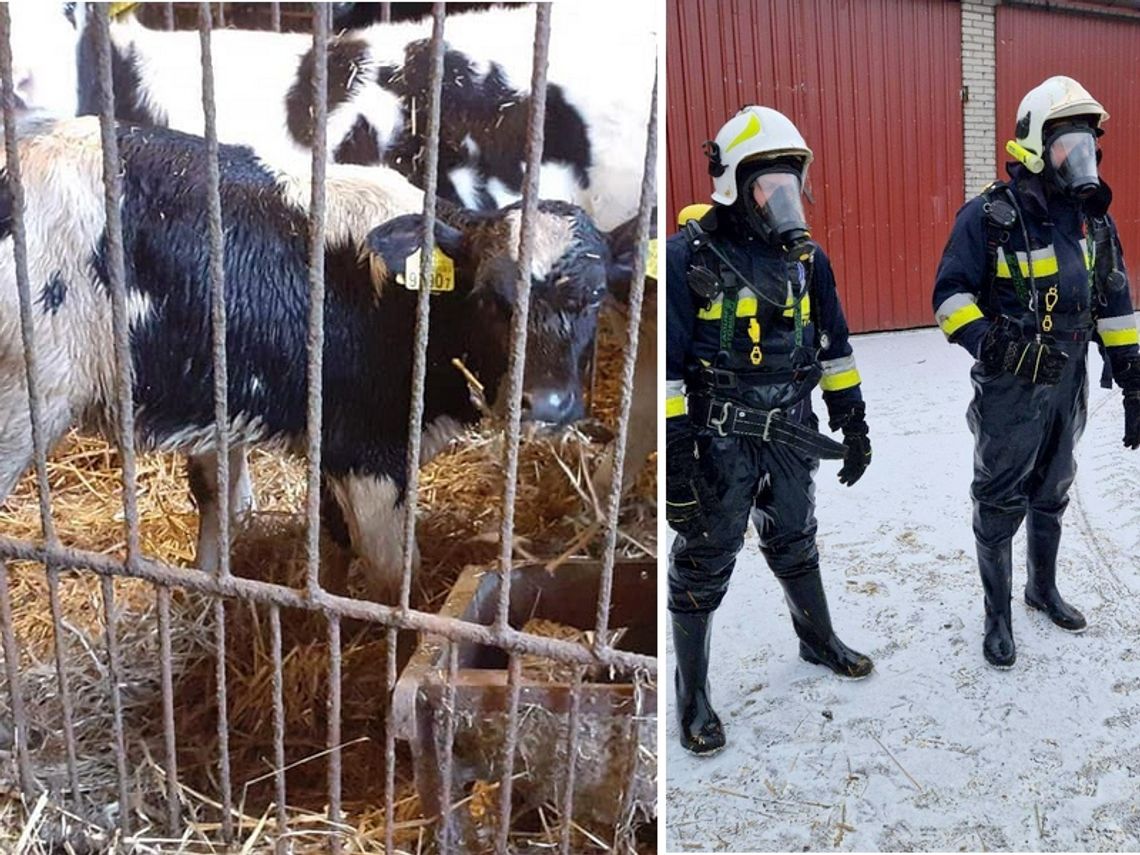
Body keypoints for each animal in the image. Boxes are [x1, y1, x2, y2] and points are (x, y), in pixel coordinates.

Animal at [0, 117, 642, 597]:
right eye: (491, 299)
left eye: (592, 297)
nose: (549, 403)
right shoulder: (367, 451)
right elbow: (391, 577)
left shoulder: (334, 443)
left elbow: (329, 546)